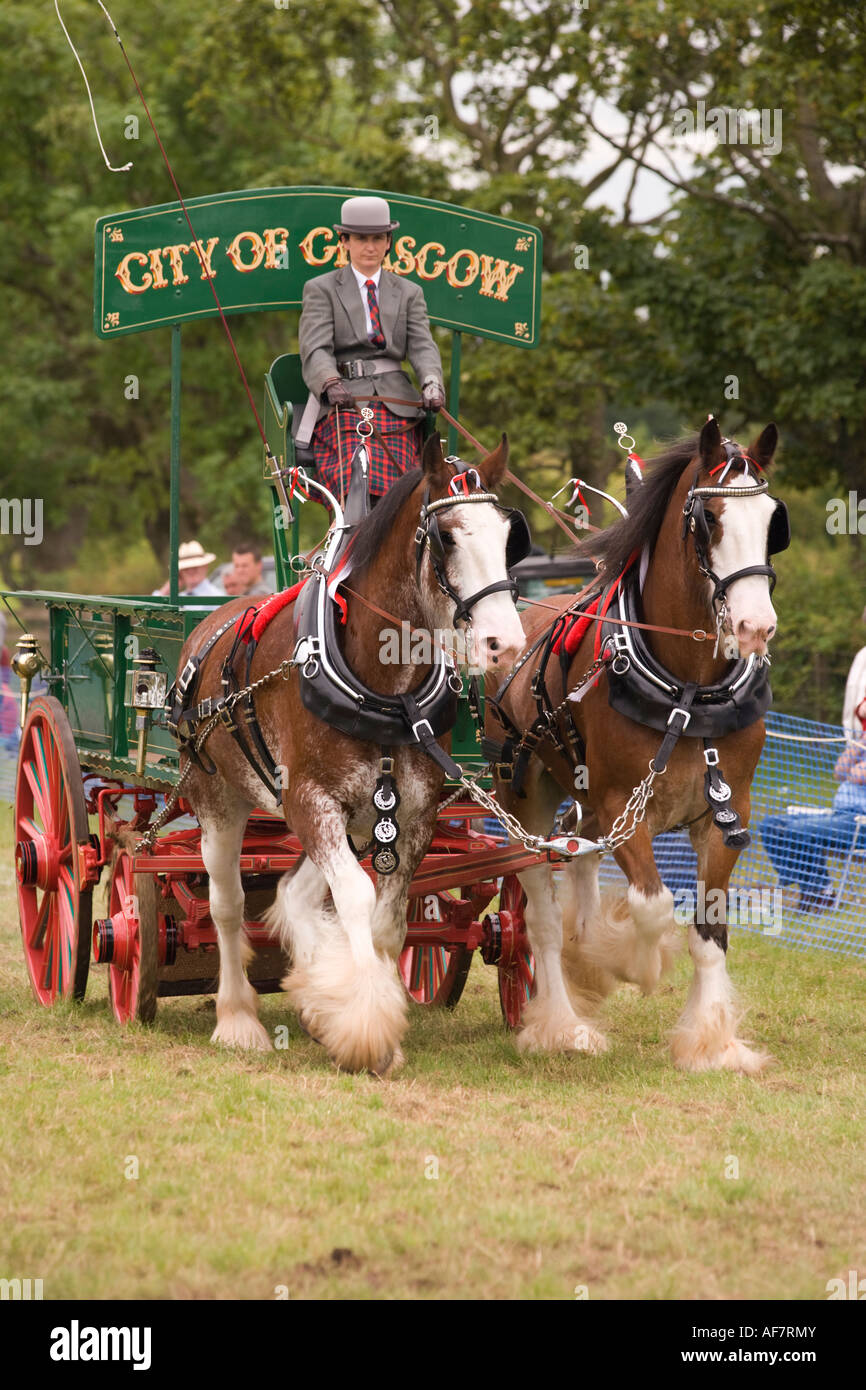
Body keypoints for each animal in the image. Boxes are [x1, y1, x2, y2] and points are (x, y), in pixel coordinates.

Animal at [172, 434, 527, 1075]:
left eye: (510, 536)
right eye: (446, 537)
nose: (505, 643)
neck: (382, 687)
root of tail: (206, 626)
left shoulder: (411, 816)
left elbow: (387, 922)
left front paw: (360, 1011)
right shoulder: (310, 801)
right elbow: (356, 899)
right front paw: (365, 1030)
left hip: (354, 819)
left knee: (290, 895)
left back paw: (318, 992)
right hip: (220, 800)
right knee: (227, 904)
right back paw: (237, 1017)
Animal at [486, 418, 787, 1073]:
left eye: (772, 521)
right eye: (709, 520)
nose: (756, 626)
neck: (689, 691)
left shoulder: (726, 813)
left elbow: (710, 933)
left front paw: (712, 1042)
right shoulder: (627, 808)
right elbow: (651, 905)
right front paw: (626, 962)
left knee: (578, 857)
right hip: (523, 798)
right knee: (540, 923)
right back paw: (563, 1023)